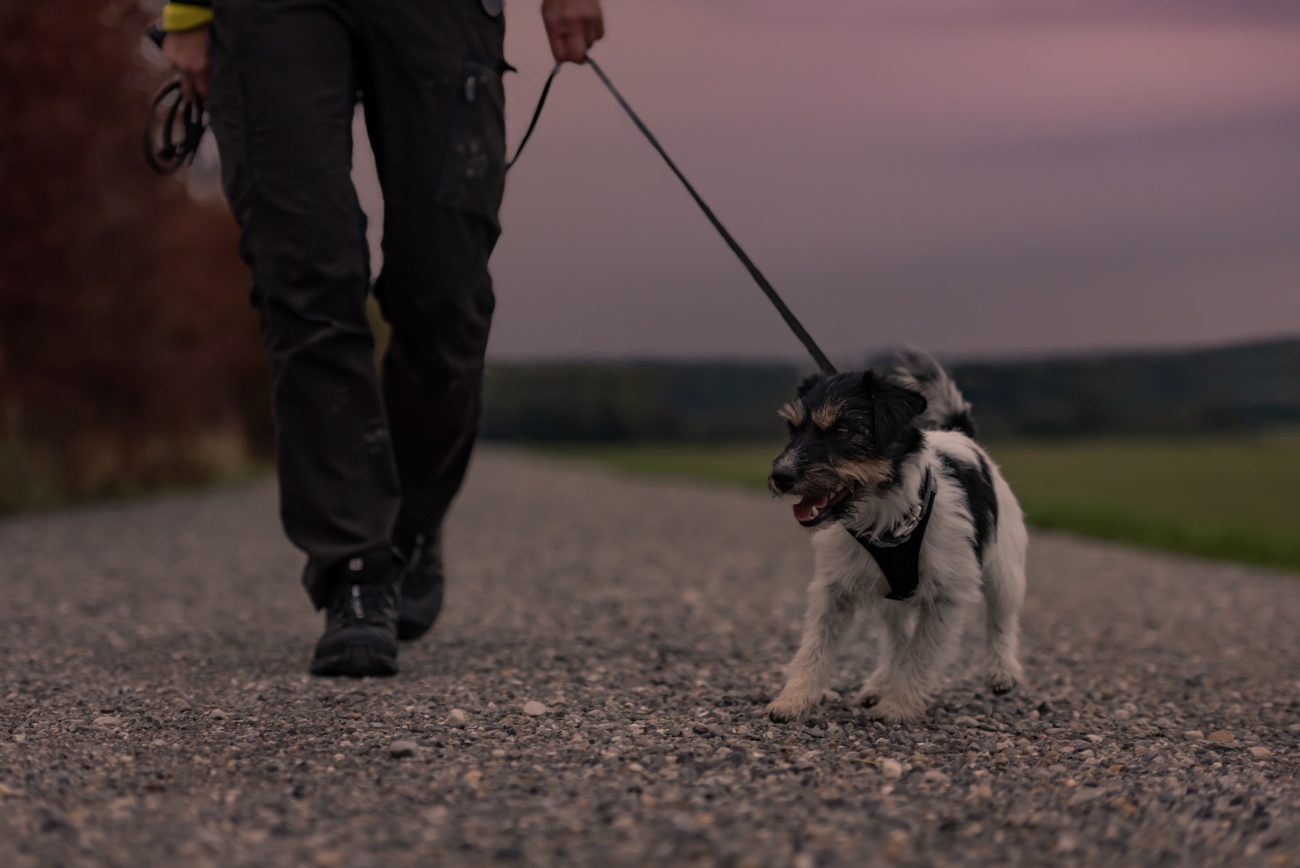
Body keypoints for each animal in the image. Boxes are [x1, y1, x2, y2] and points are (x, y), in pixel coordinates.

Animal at [759, 348, 1024, 722]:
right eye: (793, 429)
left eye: (842, 430)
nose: (781, 476)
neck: (883, 515)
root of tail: (961, 433)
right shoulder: (832, 589)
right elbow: (815, 646)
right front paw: (794, 699)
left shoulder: (947, 596)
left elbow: (921, 653)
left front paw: (898, 707)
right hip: (889, 595)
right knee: (896, 640)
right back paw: (878, 684)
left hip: (1003, 569)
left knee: (1002, 619)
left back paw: (1002, 672)